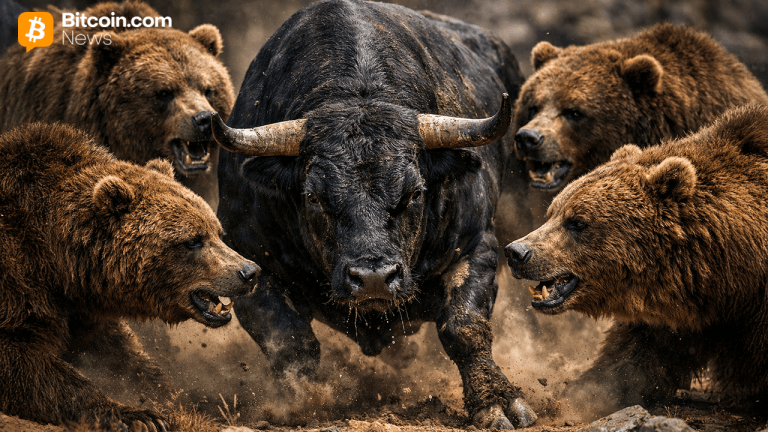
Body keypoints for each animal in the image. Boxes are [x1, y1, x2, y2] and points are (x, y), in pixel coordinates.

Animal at [0, 122, 260, 430]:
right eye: (193, 240)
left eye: (217, 232)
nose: (249, 272)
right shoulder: (19, 282)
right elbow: (26, 362)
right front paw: (138, 416)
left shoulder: (82, 307)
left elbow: (124, 356)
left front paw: (173, 400)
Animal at [214, 0, 532, 428]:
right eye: (313, 197)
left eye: (415, 193)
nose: (374, 278)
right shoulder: (245, 257)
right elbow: (290, 341)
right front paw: (300, 403)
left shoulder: (475, 246)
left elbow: (465, 327)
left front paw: (497, 401)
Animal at [504, 104, 768, 416]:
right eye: (552, 213)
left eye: (577, 222)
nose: (517, 252)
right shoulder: (679, 304)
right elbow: (636, 353)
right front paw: (583, 392)